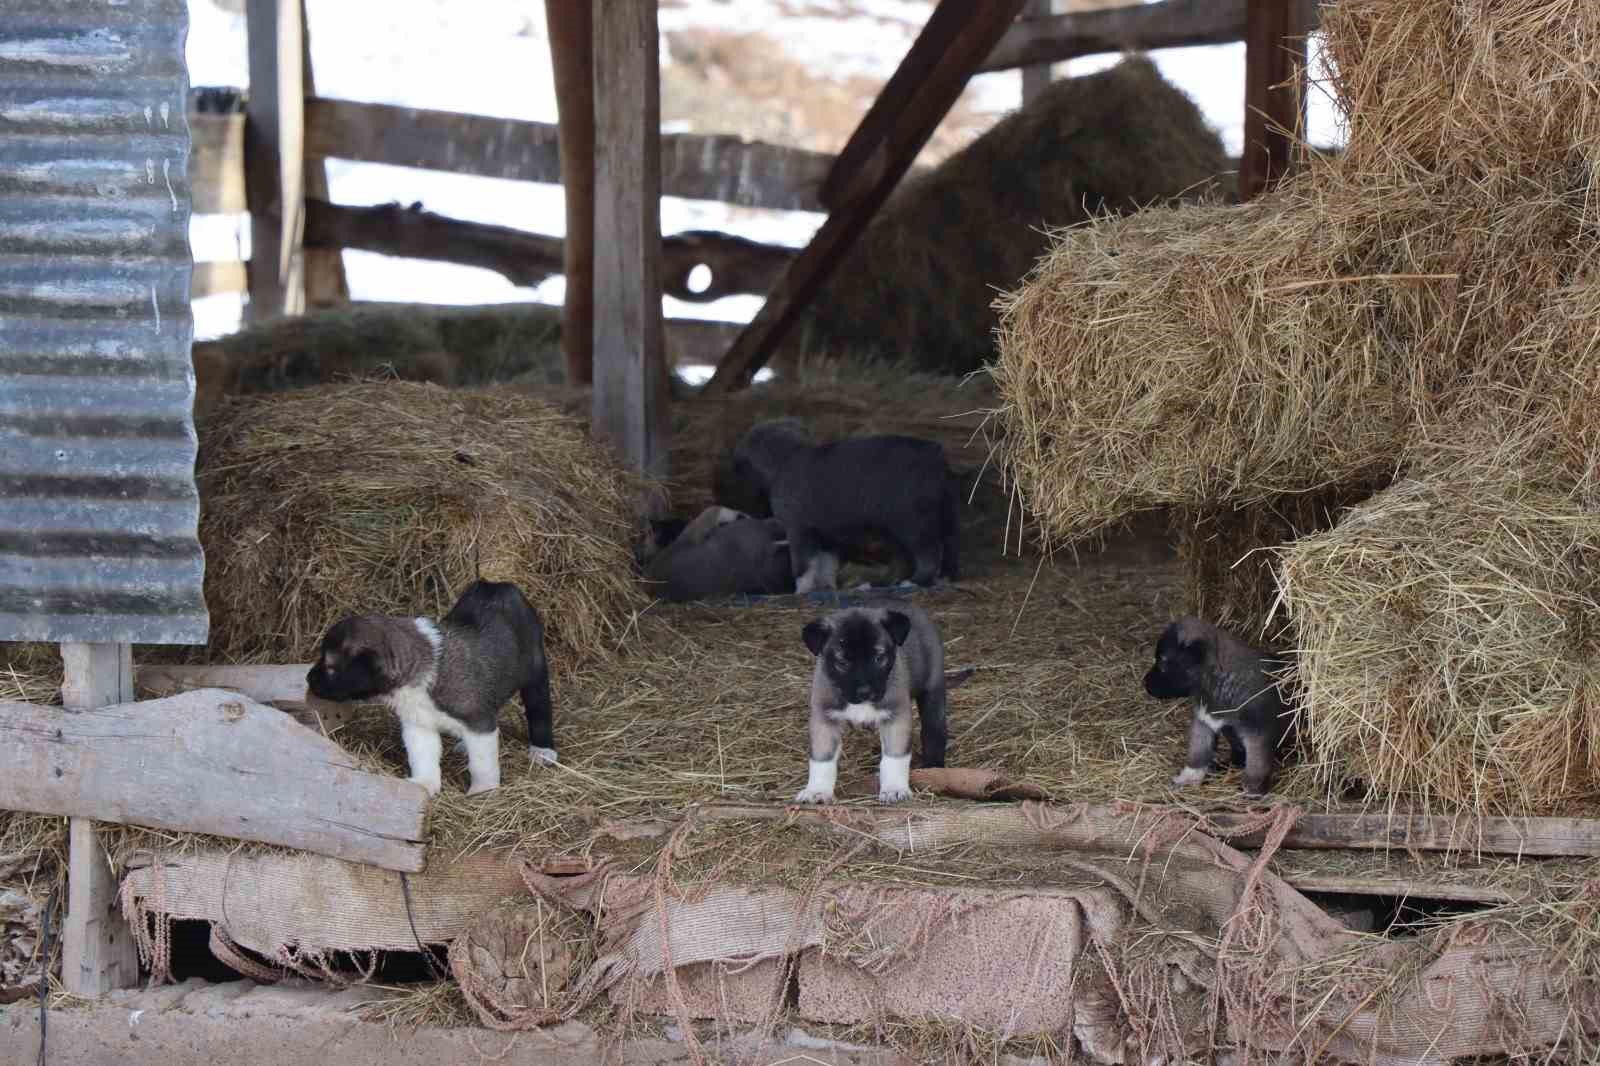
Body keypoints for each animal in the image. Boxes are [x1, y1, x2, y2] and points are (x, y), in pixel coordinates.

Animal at [305, 576, 556, 793]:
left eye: (330, 667)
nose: (308, 678)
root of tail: (495, 584)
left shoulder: (477, 720)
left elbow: (481, 763)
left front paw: (483, 790)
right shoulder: (419, 725)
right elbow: (422, 757)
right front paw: (424, 784)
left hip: (535, 671)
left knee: (539, 710)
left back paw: (543, 751)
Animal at [716, 416, 960, 598]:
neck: (787, 459)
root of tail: (935, 454)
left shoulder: (798, 530)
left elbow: (803, 566)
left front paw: (800, 591)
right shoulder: (827, 535)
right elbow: (826, 565)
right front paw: (826, 588)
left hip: (912, 522)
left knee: (929, 554)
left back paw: (913, 582)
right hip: (937, 518)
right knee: (944, 549)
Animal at [793, 601, 940, 800]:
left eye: (879, 658)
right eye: (843, 663)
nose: (865, 692)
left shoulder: (896, 716)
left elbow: (894, 757)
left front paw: (894, 788)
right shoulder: (824, 718)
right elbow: (822, 759)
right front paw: (817, 791)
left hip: (933, 689)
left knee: (934, 730)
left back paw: (934, 766)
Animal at [1145, 614, 1292, 797]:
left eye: (1162, 662)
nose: (1145, 684)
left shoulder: (1258, 733)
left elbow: (1256, 764)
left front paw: (1253, 790)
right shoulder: (1204, 721)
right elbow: (1198, 751)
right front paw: (1189, 777)